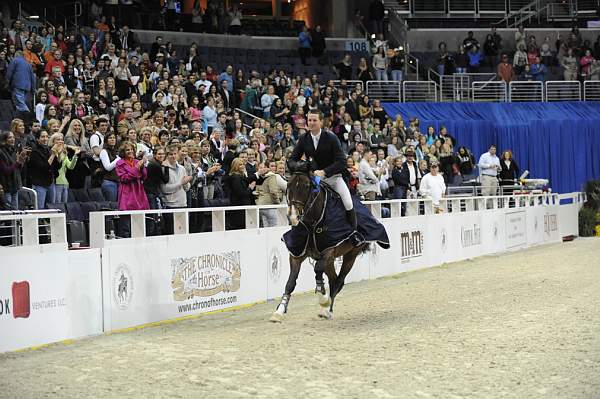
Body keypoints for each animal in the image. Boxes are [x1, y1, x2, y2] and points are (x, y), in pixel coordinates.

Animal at [270, 173, 368, 324]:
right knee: (333, 280)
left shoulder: (329, 250)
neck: (312, 224)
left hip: (350, 256)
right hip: (331, 261)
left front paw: (322, 298)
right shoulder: (297, 254)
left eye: (306, 187)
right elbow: (290, 283)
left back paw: (327, 310)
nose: (293, 216)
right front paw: (279, 311)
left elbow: (317, 270)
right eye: (288, 186)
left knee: (338, 281)